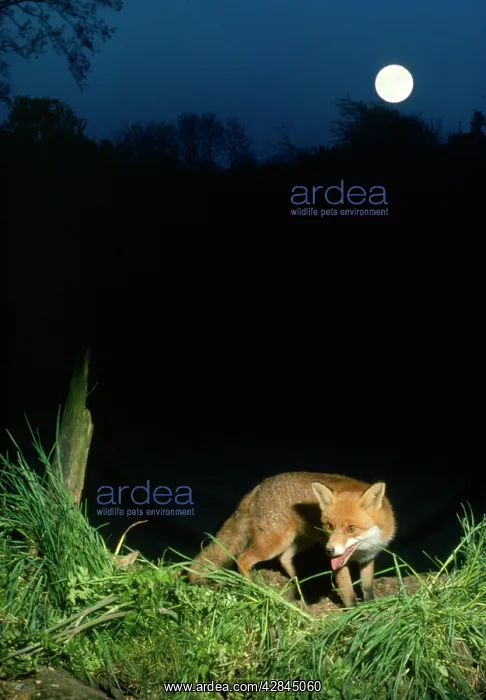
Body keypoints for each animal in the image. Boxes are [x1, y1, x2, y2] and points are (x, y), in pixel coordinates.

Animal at [188, 471, 396, 608]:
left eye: (351, 529)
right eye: (329, 526)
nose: (328, 551)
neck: (362, 549)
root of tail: (259, 487)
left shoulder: (368, 558)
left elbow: (367, 587)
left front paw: (371, 606)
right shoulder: (339, 564)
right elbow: (349, 595)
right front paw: (355, 614)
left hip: (299, 542)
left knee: (285, 558)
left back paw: (299, 586)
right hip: (273, 542)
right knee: (243, 560)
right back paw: (254, 588)